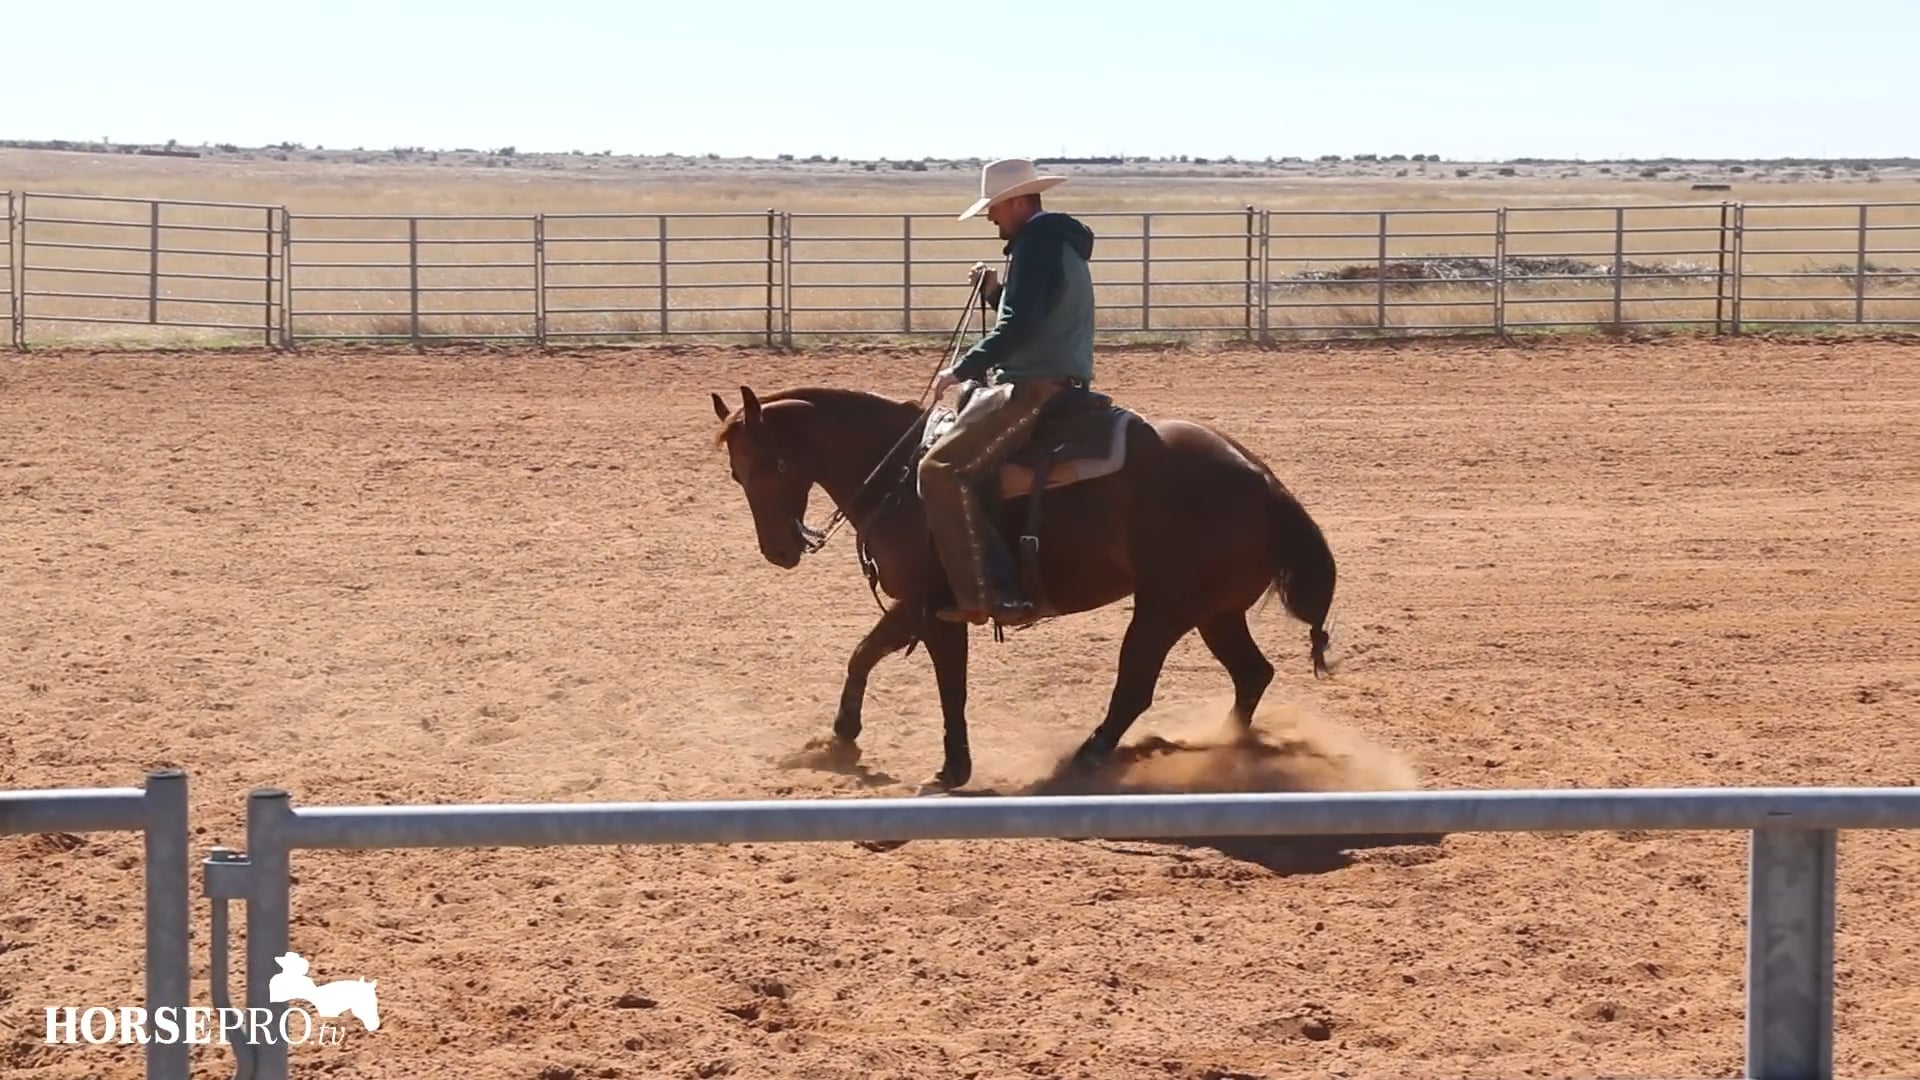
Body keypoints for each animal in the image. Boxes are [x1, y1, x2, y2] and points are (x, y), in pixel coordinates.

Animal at [709, 378, 1337, 791]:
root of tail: (1264, 481)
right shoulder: (911, 605)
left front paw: (953, 767)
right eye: (736, 473)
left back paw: (1087, 758)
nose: (779, 551)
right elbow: (863, 655)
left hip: (1164, 611)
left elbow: (949, 685)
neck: (903, 475)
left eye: (770, 466)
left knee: (1135, 687)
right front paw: (840, 737)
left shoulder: (933, 607)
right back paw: (1225, 751)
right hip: (1214, 613)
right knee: (1252, 674)